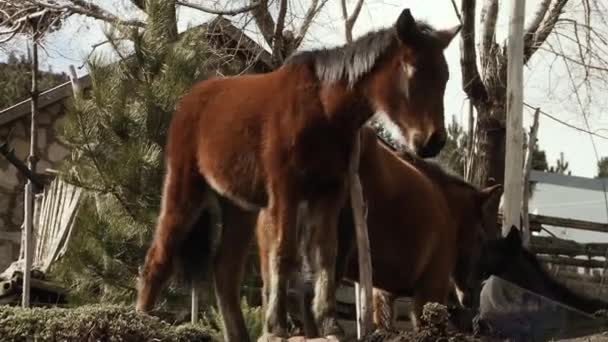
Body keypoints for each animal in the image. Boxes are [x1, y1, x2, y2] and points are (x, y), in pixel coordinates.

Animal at [138, 8, 458, 342]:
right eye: (412, 71)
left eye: (445, 76)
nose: (433, 141)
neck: (323, 111)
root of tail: (188, 100)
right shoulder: (285, 190)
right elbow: (283, 254)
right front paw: (277, 326)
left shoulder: (330, 192)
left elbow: (325, 256)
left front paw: (328, 325)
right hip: (185, 186)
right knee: (158, 259)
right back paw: (141, 321)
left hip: (239, 207)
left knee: (225, 271)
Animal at [258, 127, 502, 336]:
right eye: (482, 238)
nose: (472, 296)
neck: (450, 210)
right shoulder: (432, 283)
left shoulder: (382, 291)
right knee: (308, 297)